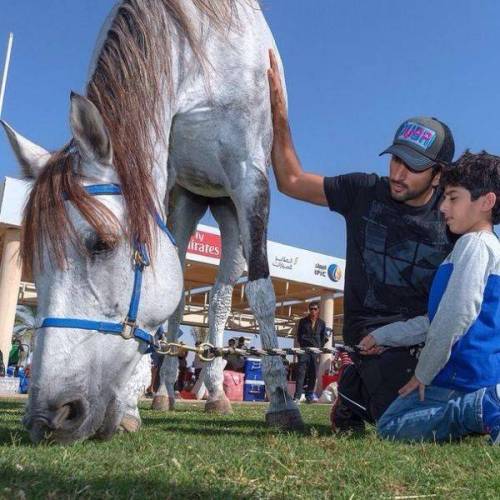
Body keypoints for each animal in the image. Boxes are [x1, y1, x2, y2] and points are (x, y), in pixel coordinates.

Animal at [1, 0, 300, 442]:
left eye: (101, 243)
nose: (47, 417)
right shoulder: (159, 175)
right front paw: (131, 404)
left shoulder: (250, 179)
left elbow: (262, 292)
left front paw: (281, 400)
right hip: (185, 203)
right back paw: (164, 392)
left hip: (227, 209)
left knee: (221, 299)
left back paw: (214, 392)